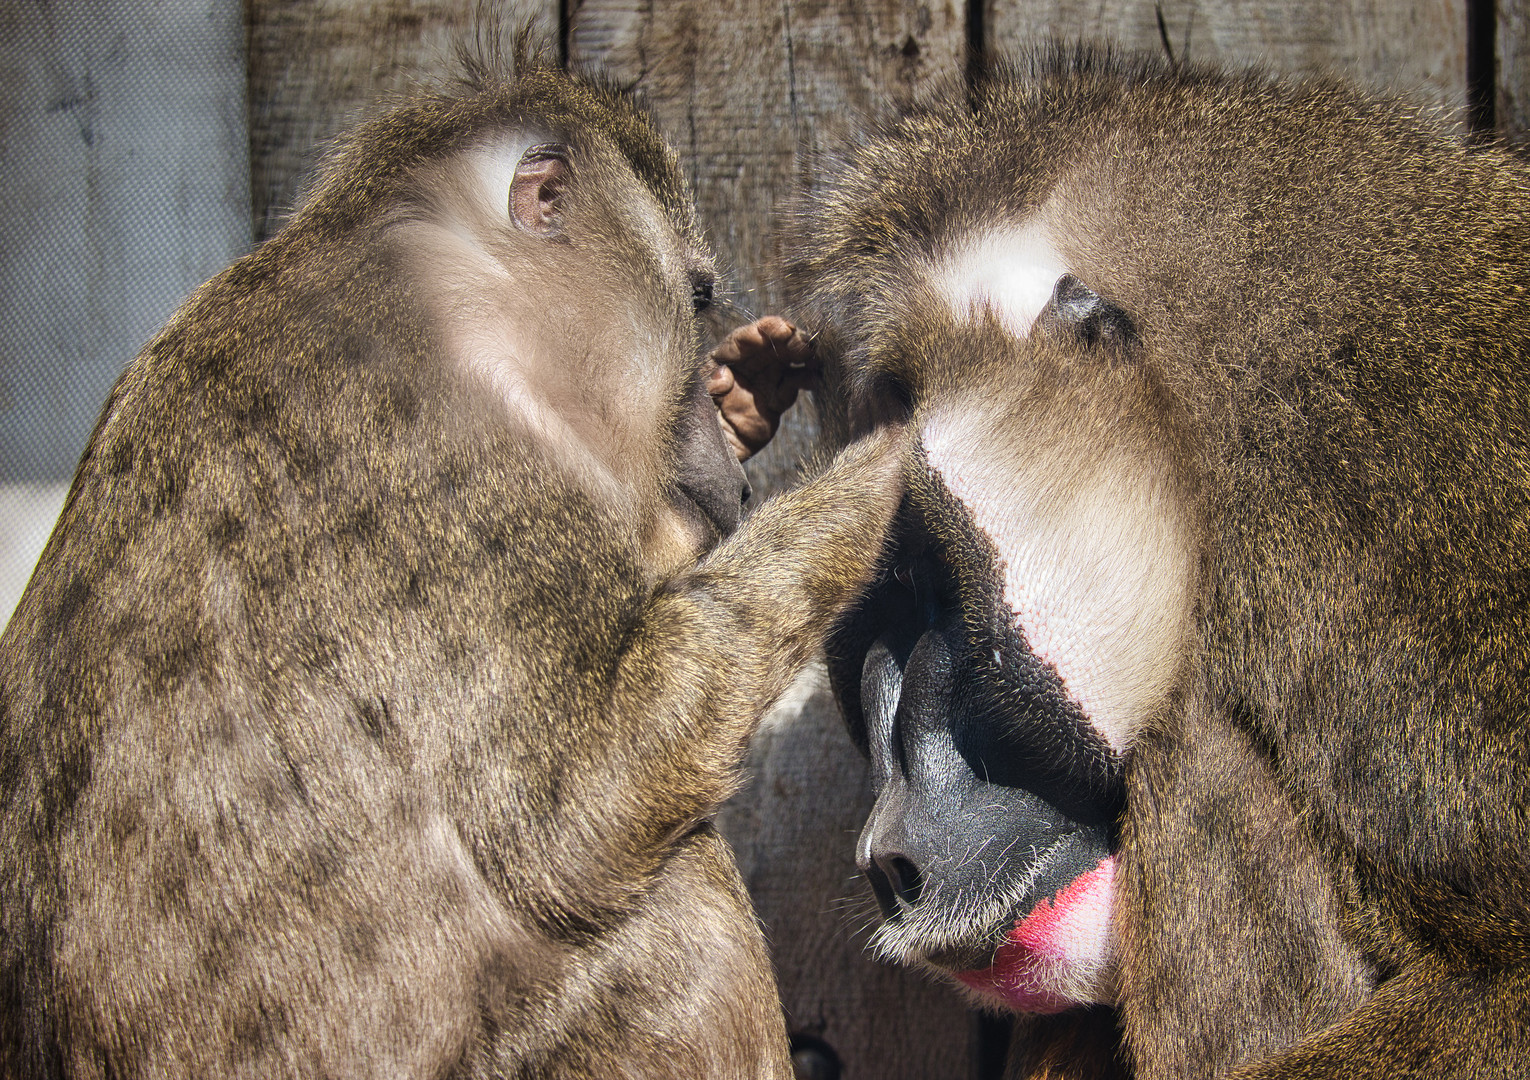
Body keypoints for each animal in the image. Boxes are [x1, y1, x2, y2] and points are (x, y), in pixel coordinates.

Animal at [0, 54, 899, 1076]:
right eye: (697, 296)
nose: (729, 471)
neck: (437, 279)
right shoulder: (476, 447)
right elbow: (574, 816)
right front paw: (883, 467)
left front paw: (748, 396)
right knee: (680, 915)